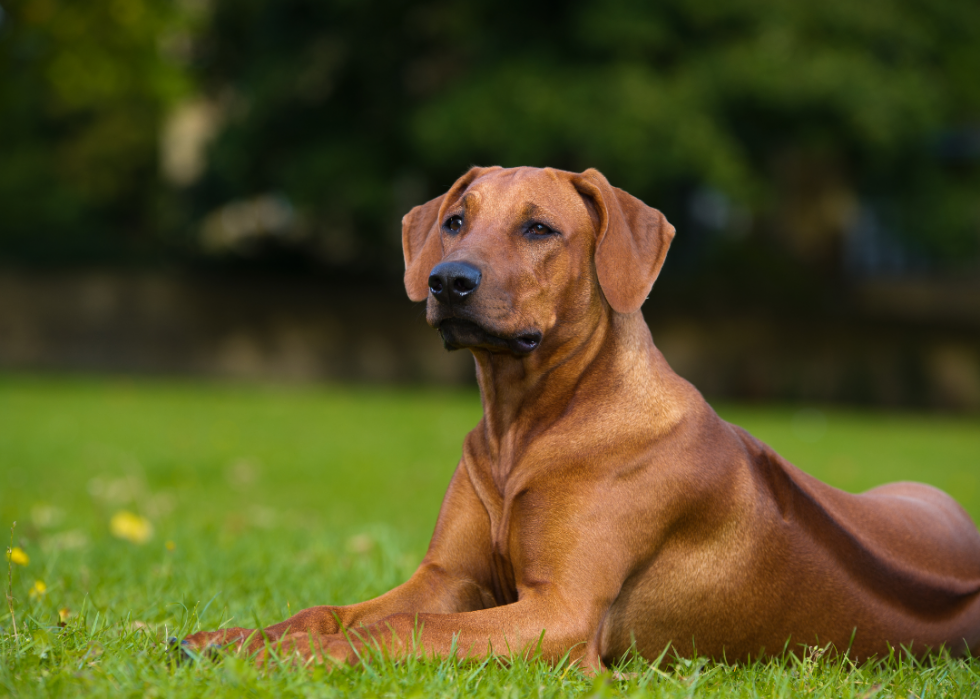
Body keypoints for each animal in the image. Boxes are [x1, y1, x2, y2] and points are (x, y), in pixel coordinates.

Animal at [180, 167, 980, 668]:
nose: (447, 279)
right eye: (454, 221)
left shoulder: (560, 612)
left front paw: (298, 654)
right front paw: (240, 637)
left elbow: (408, 624)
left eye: (539, 228)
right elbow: (338, 608)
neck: (525, 425)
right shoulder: (446, 574)